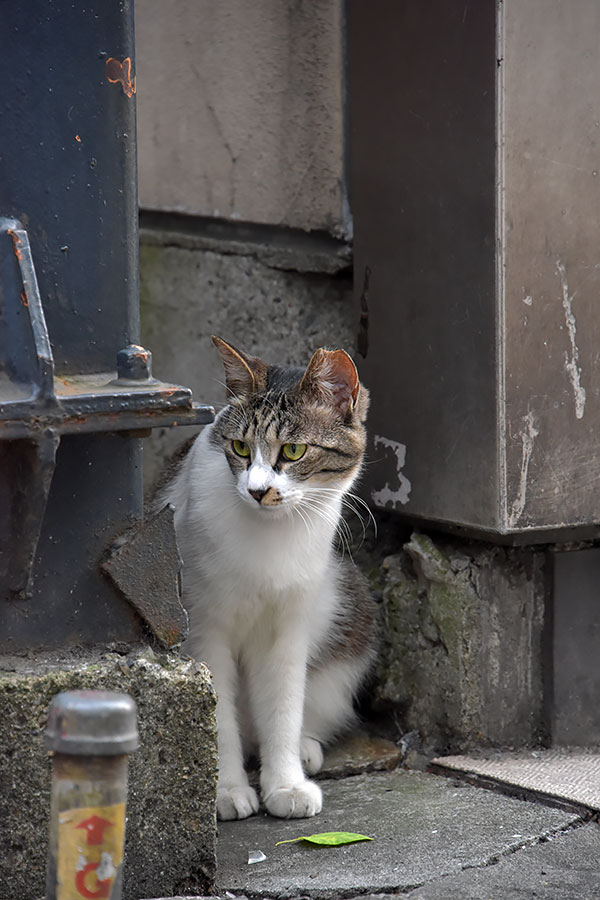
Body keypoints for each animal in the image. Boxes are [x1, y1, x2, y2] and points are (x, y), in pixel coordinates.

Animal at [159, 340, 376, 824]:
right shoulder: (203, 629)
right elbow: (217, 716)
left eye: (293, 451)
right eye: (240, 446)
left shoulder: (288, 628)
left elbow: (283, 707)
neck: (270, 538)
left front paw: (286, 784)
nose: (258, 490)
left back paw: (305, 749)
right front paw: (225, 790)